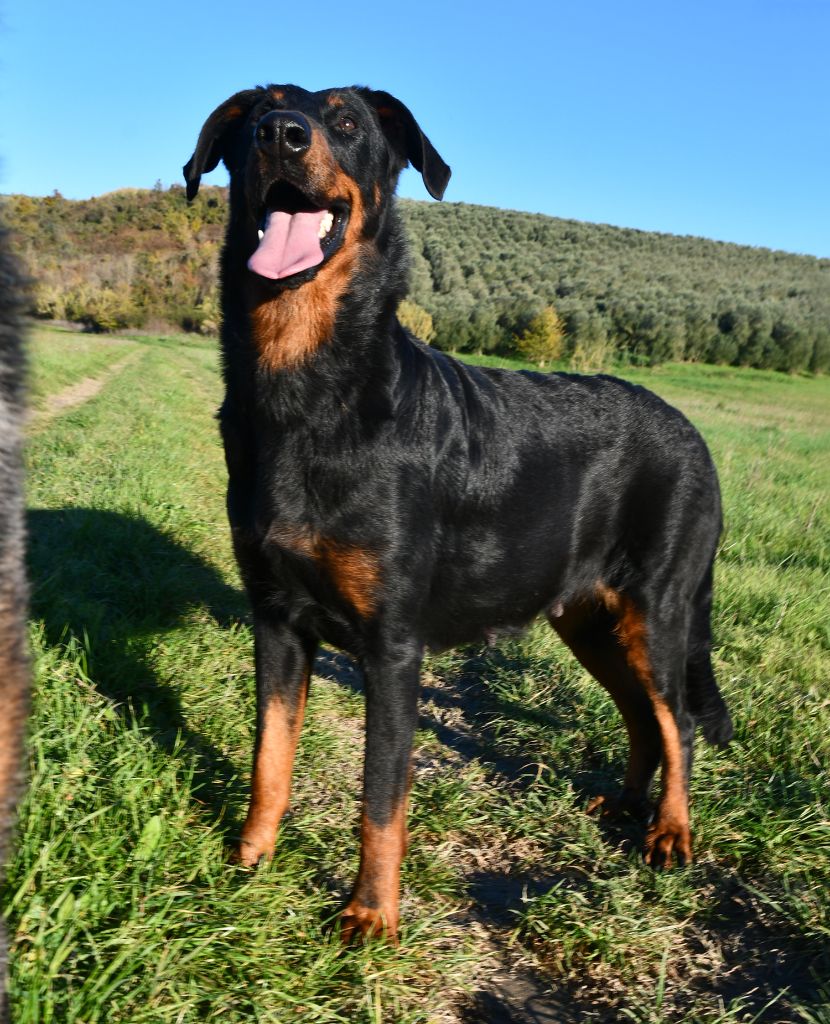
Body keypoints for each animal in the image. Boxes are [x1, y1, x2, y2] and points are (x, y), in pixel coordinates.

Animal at [184, 84, 733, 943]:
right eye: (255, 116)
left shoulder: (391, 648)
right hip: (586, 618)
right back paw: (624, 803)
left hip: (660, 610)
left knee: (676, 718)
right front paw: (247, 863)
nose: (281, 134)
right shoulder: (275, 619)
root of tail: (695, 435)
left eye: (347, 121)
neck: (307, 384)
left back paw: (671, 831)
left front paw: (371, 915)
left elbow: (380, 798)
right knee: (643, 715)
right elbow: (269, 757)